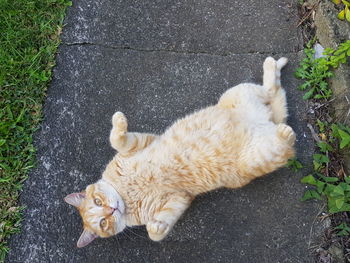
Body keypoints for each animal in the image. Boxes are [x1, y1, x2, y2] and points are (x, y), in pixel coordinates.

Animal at [63, 56, 296, 249]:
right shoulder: (179, 198)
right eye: (103, 223)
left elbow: (116, 138)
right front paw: (156, 227)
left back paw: (272, 64)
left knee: (271, 89)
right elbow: (157, 231)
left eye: (98, 202)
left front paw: (118, 120)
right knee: (283, 124)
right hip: (258, 158)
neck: (125, 194)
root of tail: (266, 122)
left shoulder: (140, 143)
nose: (111, 210)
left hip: (239, 92)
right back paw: (284, 130)